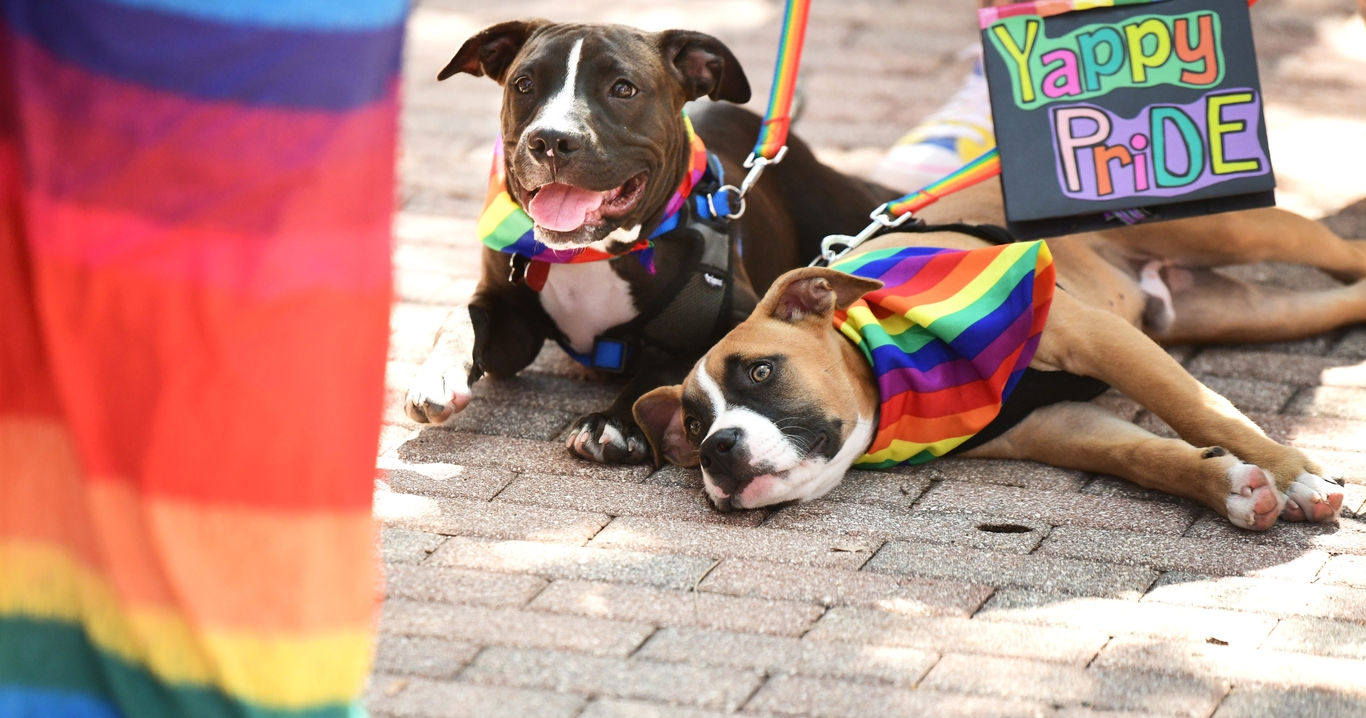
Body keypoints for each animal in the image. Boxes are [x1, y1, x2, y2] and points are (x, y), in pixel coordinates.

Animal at [404, 21, 896, 466]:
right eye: (524, 85)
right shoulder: (513, 322)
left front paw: (615, 422)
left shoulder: (739, 321)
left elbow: (663, 368)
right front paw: (437, 374)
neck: (596, 252)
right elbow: (462, 316)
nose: (551, 140)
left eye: (623, 89)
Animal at [631, 180, 1366, 529]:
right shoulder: (1060, 425)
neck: (888, 364)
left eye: (761, 371)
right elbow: (1147, 456)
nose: (718, 448)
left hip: (1244, 231)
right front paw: (1234, 489)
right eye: (692, 425)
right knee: (1347, 296)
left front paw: (1295, 477)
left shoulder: (1095, 337)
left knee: (1343, 254)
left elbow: (1202, 411)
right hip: (1248, 313)